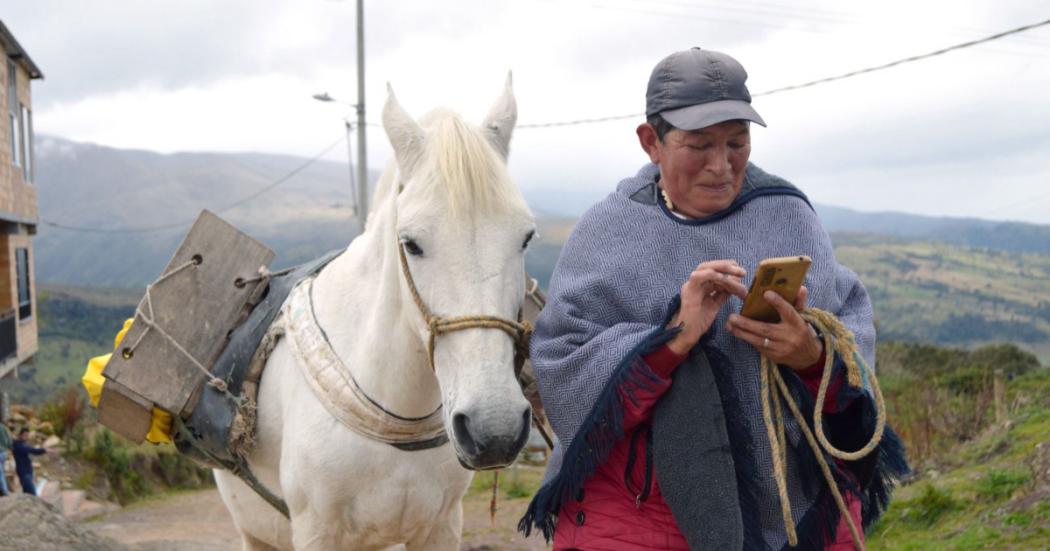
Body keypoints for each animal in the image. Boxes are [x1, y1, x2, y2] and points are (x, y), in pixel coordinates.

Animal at [216, 78, 537, 549]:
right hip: (255, 533)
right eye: (411, 243)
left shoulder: (441, 525)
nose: (493, 429)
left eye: (527, 237)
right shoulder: (315, 532)